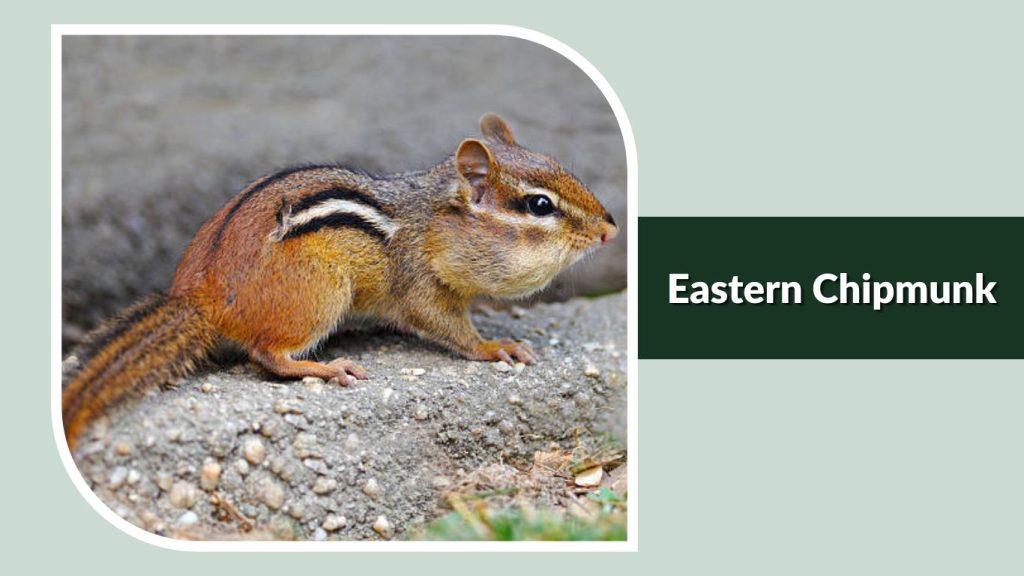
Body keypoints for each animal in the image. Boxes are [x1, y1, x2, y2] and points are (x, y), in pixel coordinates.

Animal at [62, 114, 619, 451]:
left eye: (559, 168)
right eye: (540, 205)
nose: (611, 228)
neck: (432, 222)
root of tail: (198, 298)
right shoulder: (418, 283)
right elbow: (445, 326)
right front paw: (495, 345)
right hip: (321, 294)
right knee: (267, 355)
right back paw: (327, 369)